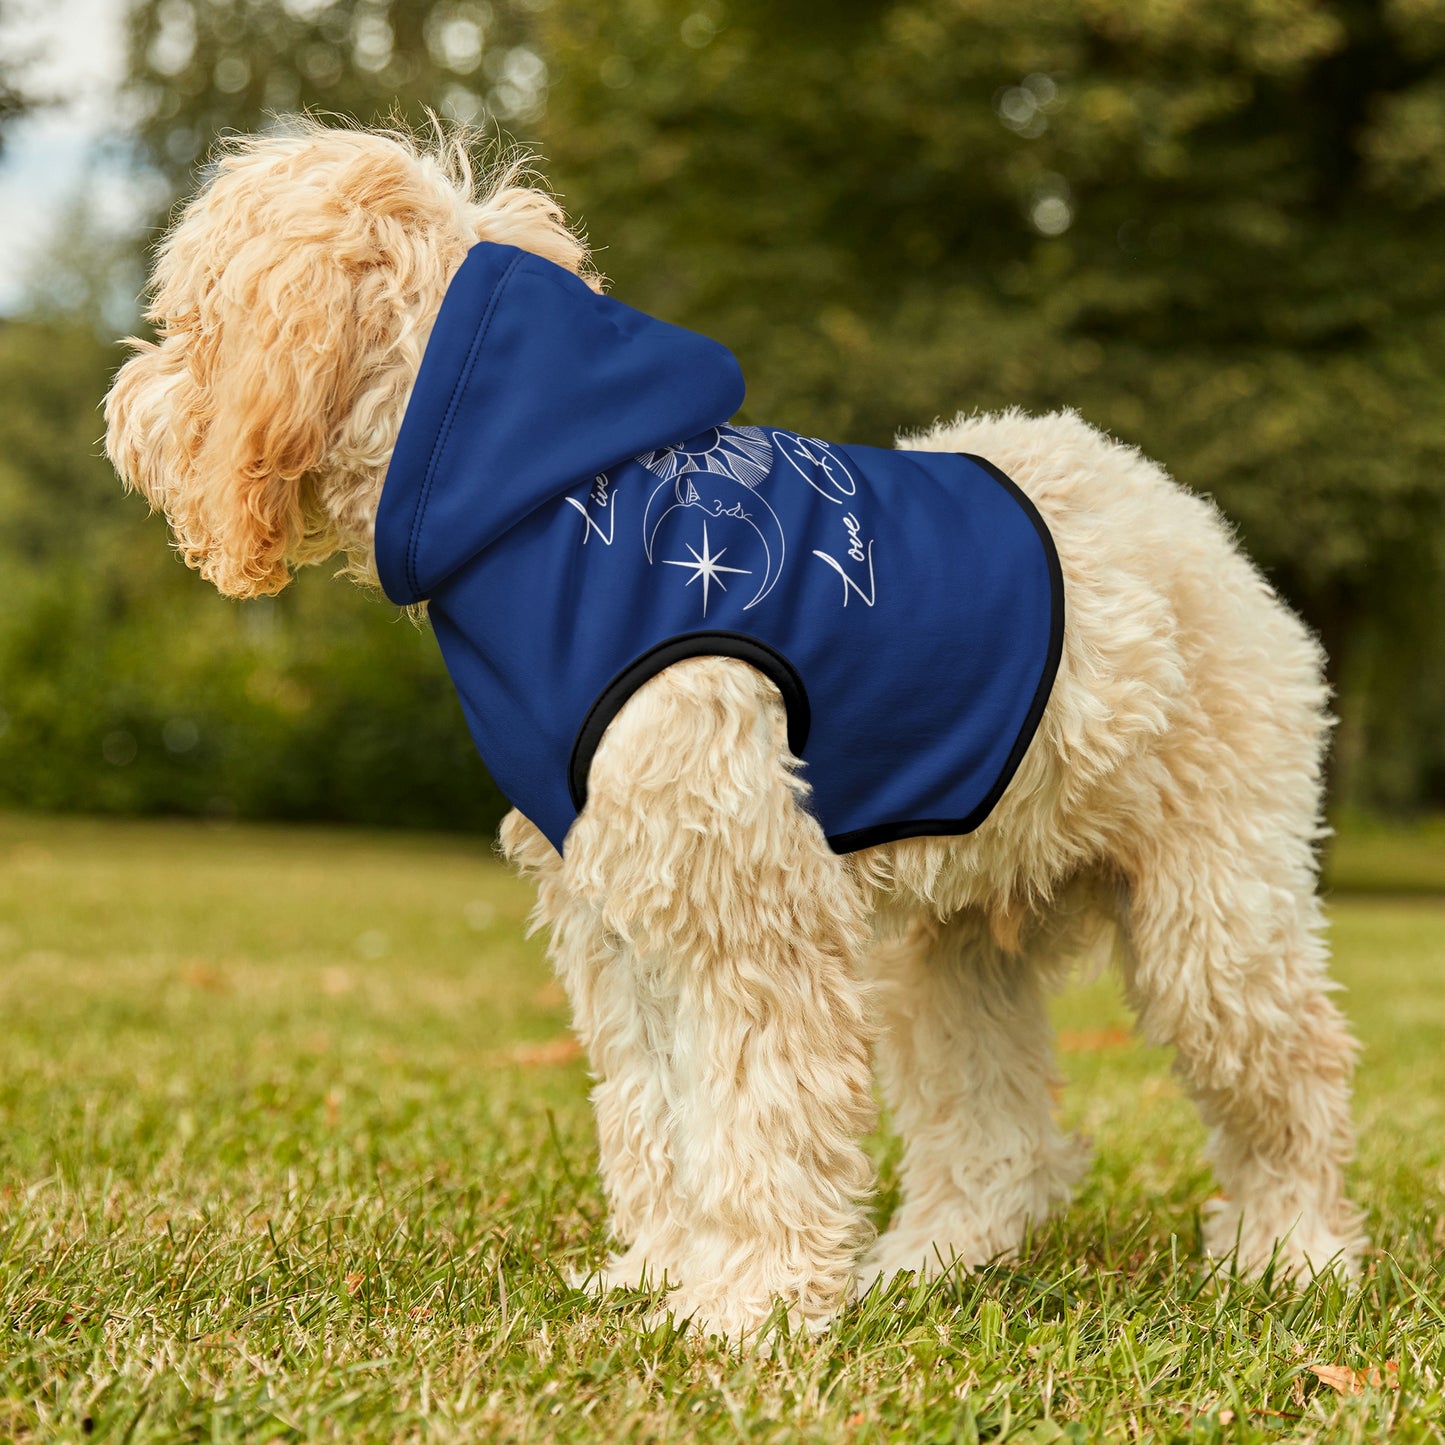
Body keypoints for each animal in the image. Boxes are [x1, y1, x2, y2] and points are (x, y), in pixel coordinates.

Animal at [104, 124, 1364, 1340]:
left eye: (190, 319)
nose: (123, 407)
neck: (543, 501)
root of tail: (1186, 517)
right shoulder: (619, 913)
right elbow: (656, 1112)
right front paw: (662, 1273)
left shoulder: (744, 907)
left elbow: (758, 1114)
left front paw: (747, 1304)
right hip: (949, 948)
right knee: (996, 1134)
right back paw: (930, 1260)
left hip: (1212, 916)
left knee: (1293, 1076)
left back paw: (1290, 1251)